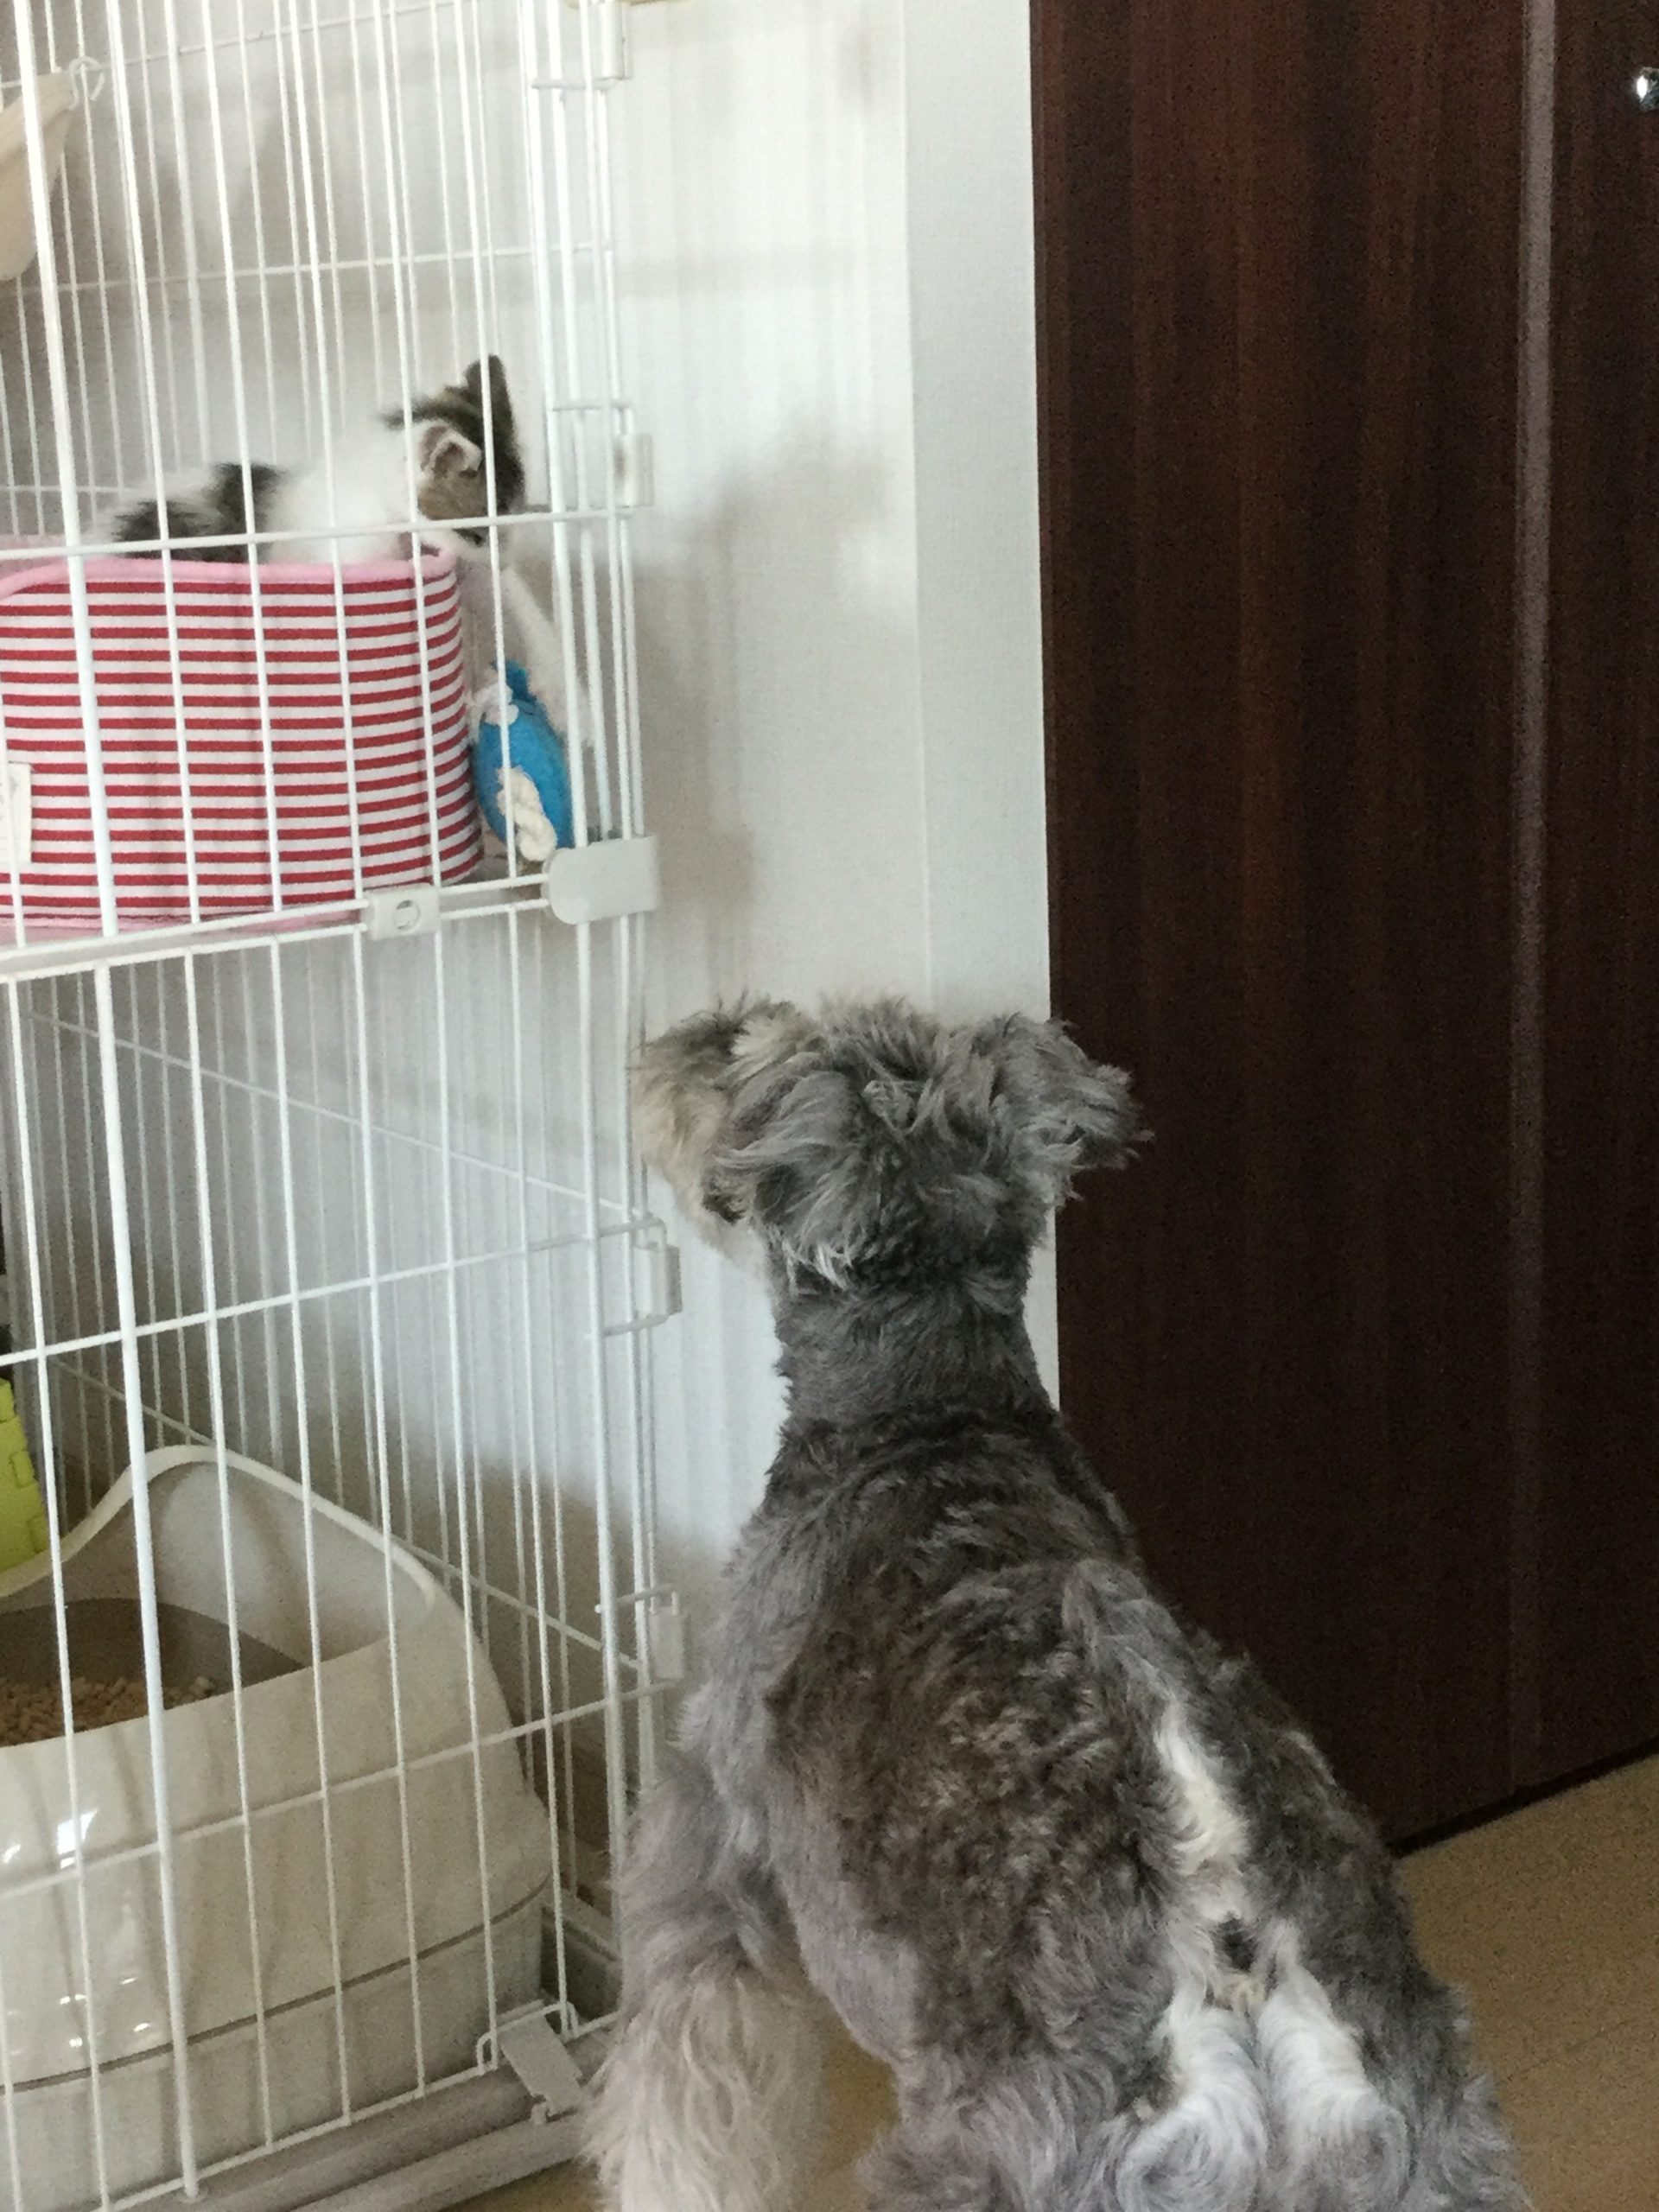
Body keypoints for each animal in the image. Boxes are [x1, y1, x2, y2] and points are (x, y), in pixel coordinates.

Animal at [587, 999, 1525, 2212]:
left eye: (750, 1056)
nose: (682, 1035)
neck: (928, 1417)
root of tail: (1235, 1953)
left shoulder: (708, 1845)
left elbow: (684, 2092)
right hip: (1435, 2160)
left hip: (986, 2162)